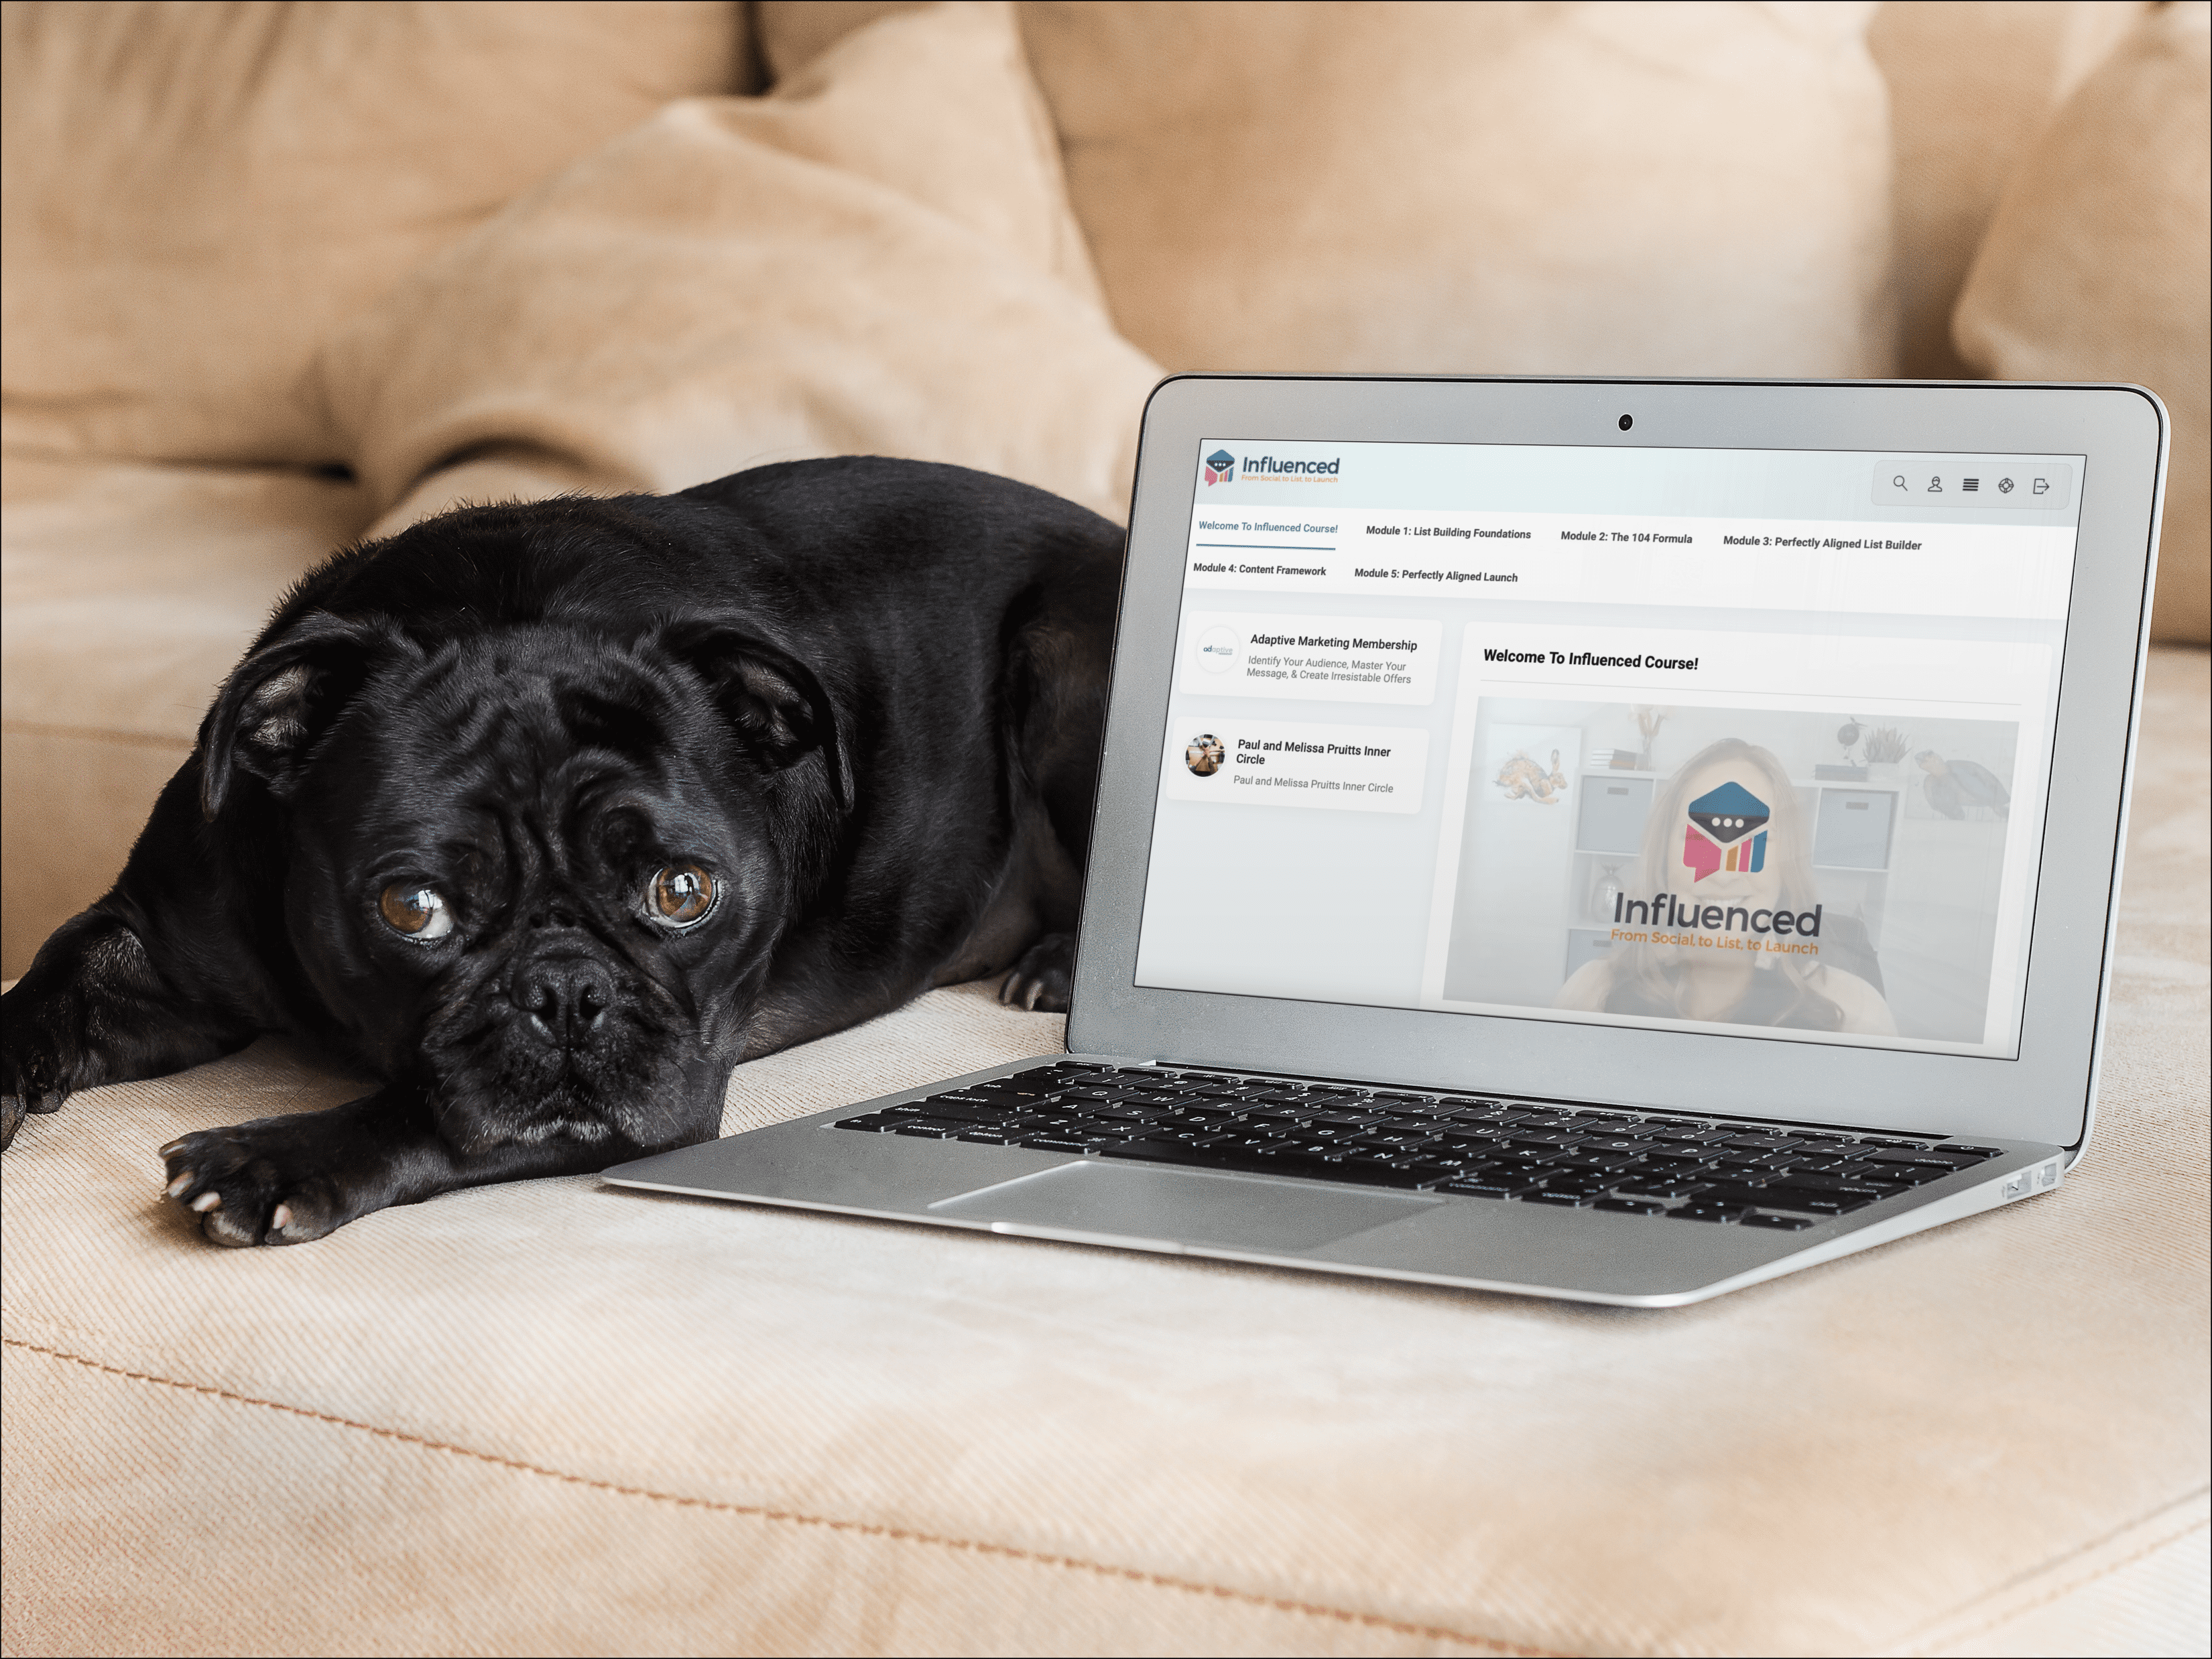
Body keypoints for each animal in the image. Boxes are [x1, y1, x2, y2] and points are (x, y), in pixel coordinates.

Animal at [0, 458, 1123, 1247]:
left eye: (684, 890)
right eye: (413, 907)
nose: (568, 991)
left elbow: (421, 1113)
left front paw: (276, 1157)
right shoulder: (151, 952)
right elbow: (42, 989)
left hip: (1072, 658)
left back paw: (1060, 964)